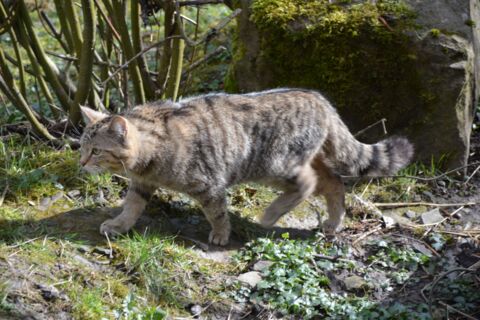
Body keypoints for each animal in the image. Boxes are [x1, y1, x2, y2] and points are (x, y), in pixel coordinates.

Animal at [79, 89, 412, 244]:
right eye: (81, 146)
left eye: (95, 151)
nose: (81, 163)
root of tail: (319, 99)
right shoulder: (141, 183)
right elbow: (131, 207)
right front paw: (119, 225)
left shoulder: (209, 184)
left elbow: (217, 212)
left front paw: (221, 234)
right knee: (334, 182)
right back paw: (333, 222)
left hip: (274, 165)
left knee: (309, 184)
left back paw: (271, 214)